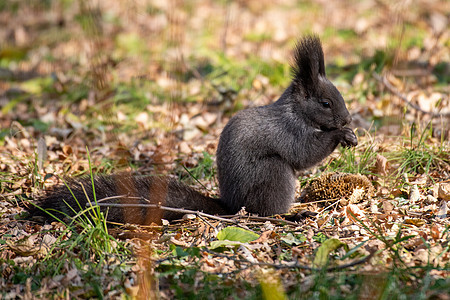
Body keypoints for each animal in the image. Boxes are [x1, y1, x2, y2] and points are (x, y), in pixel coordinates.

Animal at [28, 35, 358, 225]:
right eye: (326, 103)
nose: (346, 119)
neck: (296, 111)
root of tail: (230, 206)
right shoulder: (288, 131)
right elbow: (304, 153)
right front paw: (340, 136)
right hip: (273, 176)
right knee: (265, 213)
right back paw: (292, 214)